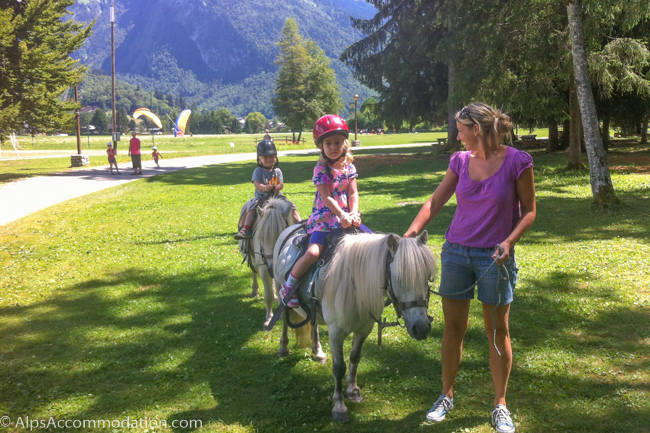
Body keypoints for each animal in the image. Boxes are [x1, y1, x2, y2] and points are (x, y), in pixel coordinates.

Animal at [239, 197, 297, 328]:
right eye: (261, 238)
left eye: (281, 236)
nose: (272, 268)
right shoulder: (264, 268)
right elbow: (268, 295)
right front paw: (269, 319)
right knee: (254, 272)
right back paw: (255, 291)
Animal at [273, 226, 436, 422]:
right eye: (398, 278)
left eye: (428, 277)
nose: (422, 328)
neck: (354, 285)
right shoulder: (336, 333)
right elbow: (339, 367)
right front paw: (339, 406)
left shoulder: (364, 329)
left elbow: (355, 357)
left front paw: (352, 390)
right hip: (281, 294)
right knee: (284, 320)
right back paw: (283, 348)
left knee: (314, 324)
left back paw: (318, 351)